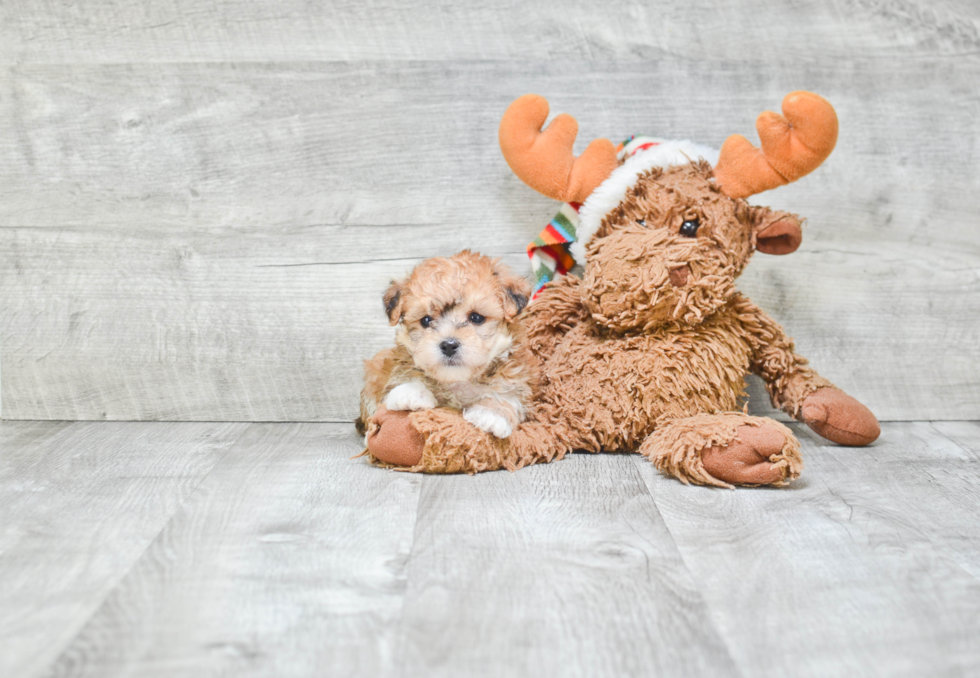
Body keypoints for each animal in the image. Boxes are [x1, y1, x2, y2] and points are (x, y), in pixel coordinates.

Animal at [358, 251, 532, 440]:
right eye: (426, 320)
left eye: (476, 317)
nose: (449, 345)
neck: (457, 381)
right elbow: (407, 373)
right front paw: (410, 392)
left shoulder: (514, 378)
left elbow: (507, 395)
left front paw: (492, 413)